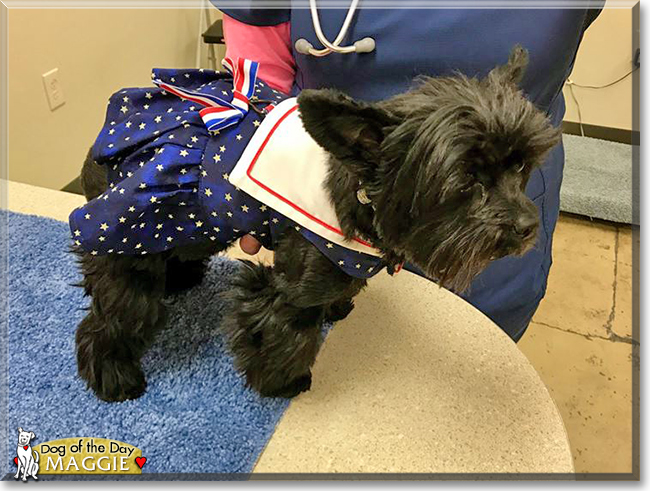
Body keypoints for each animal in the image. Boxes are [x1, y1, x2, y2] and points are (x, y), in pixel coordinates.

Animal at [73, 46, 560, 402]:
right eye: (466, 180)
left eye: (521, 165)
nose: (526, 227)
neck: (362, 198)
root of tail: (101, 137)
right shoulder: (292, 287)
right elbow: (286, 334)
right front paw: (282, 382)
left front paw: (336, 309)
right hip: (133, 229)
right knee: (116, 308)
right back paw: (112, 373)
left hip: (189, 220)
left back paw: (180, 279)